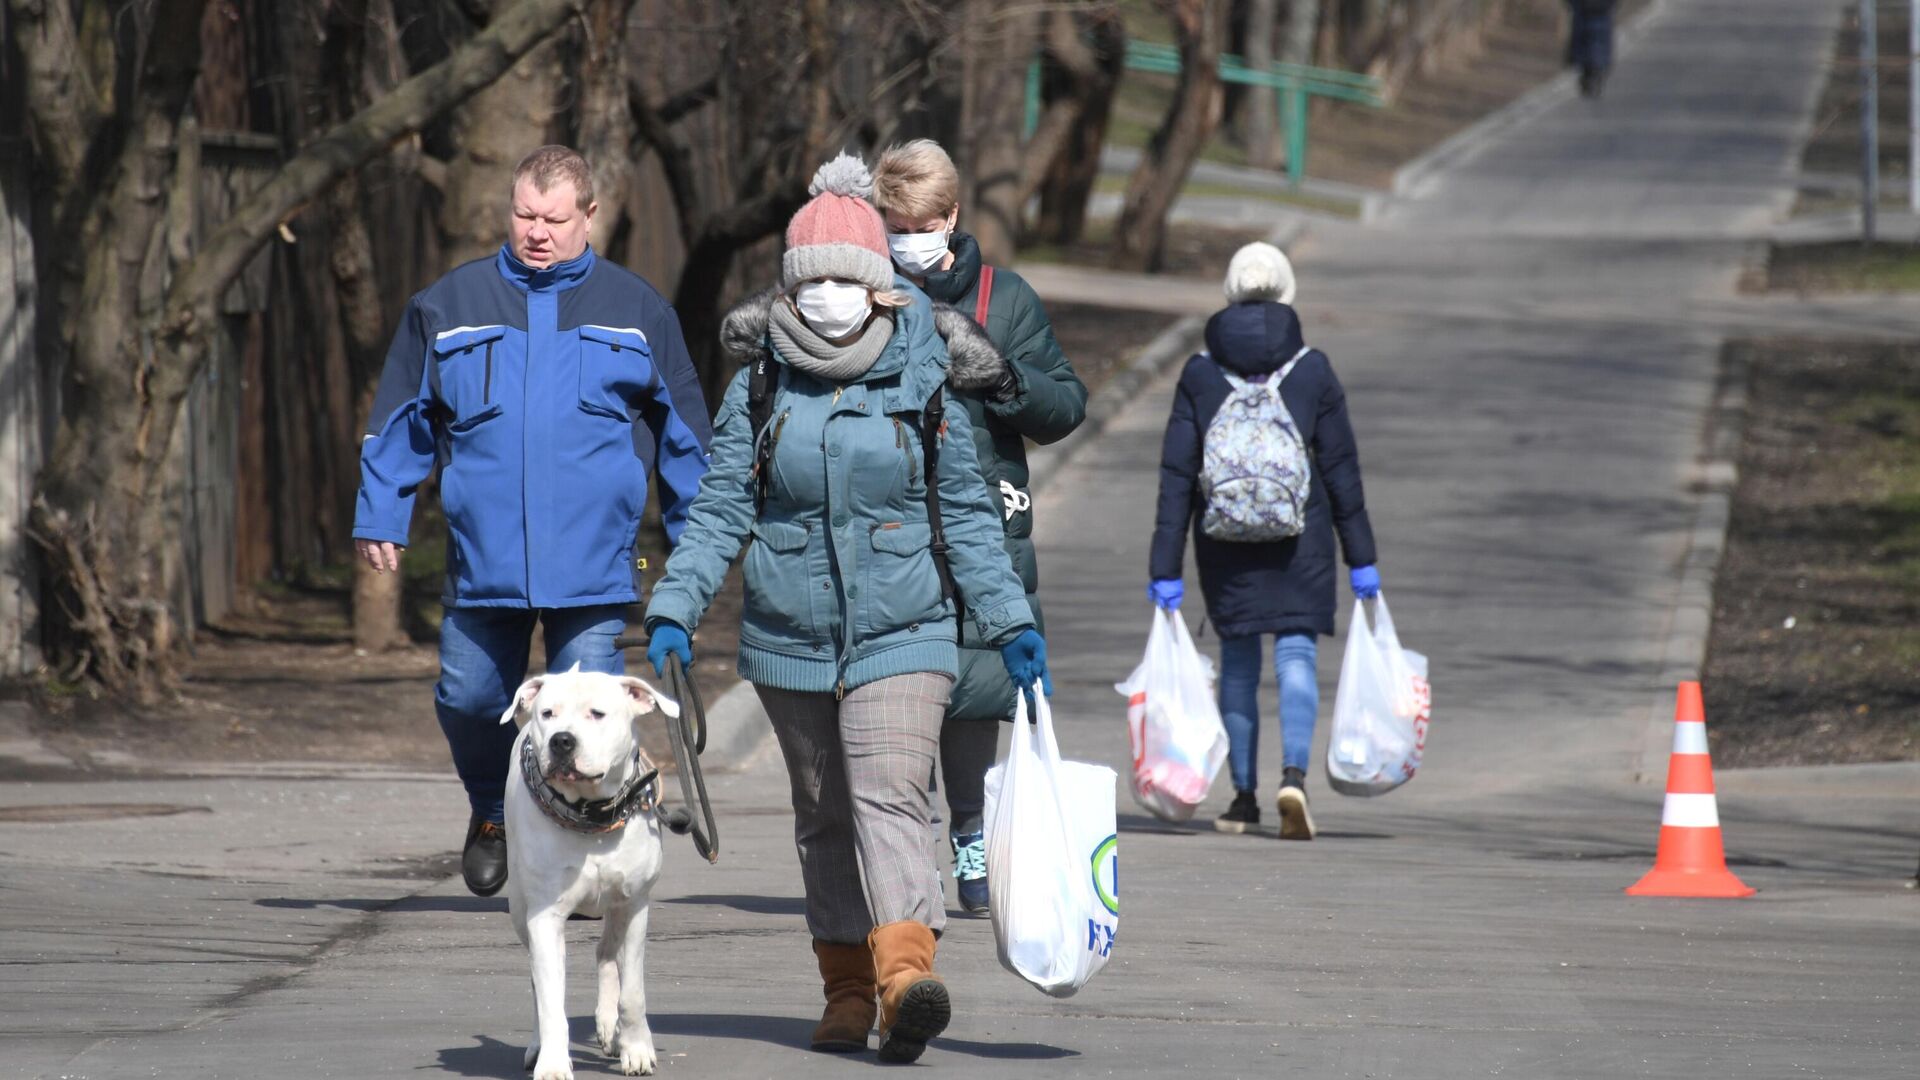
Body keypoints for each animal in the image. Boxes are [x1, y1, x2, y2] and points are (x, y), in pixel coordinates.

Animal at [499, 664, 679, 1076]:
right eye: (547, 714)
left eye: (597, 714)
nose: (562, 741)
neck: (590, 817)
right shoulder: (544, 916)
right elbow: (550, 998)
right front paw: (552, 1063)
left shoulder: (634, 906)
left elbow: (633, 992)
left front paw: (636, 1048)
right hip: (519, 909)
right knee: (537, 978)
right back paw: (539, 1044)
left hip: (615, 909)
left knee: (606, 953)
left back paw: (610, 1028)